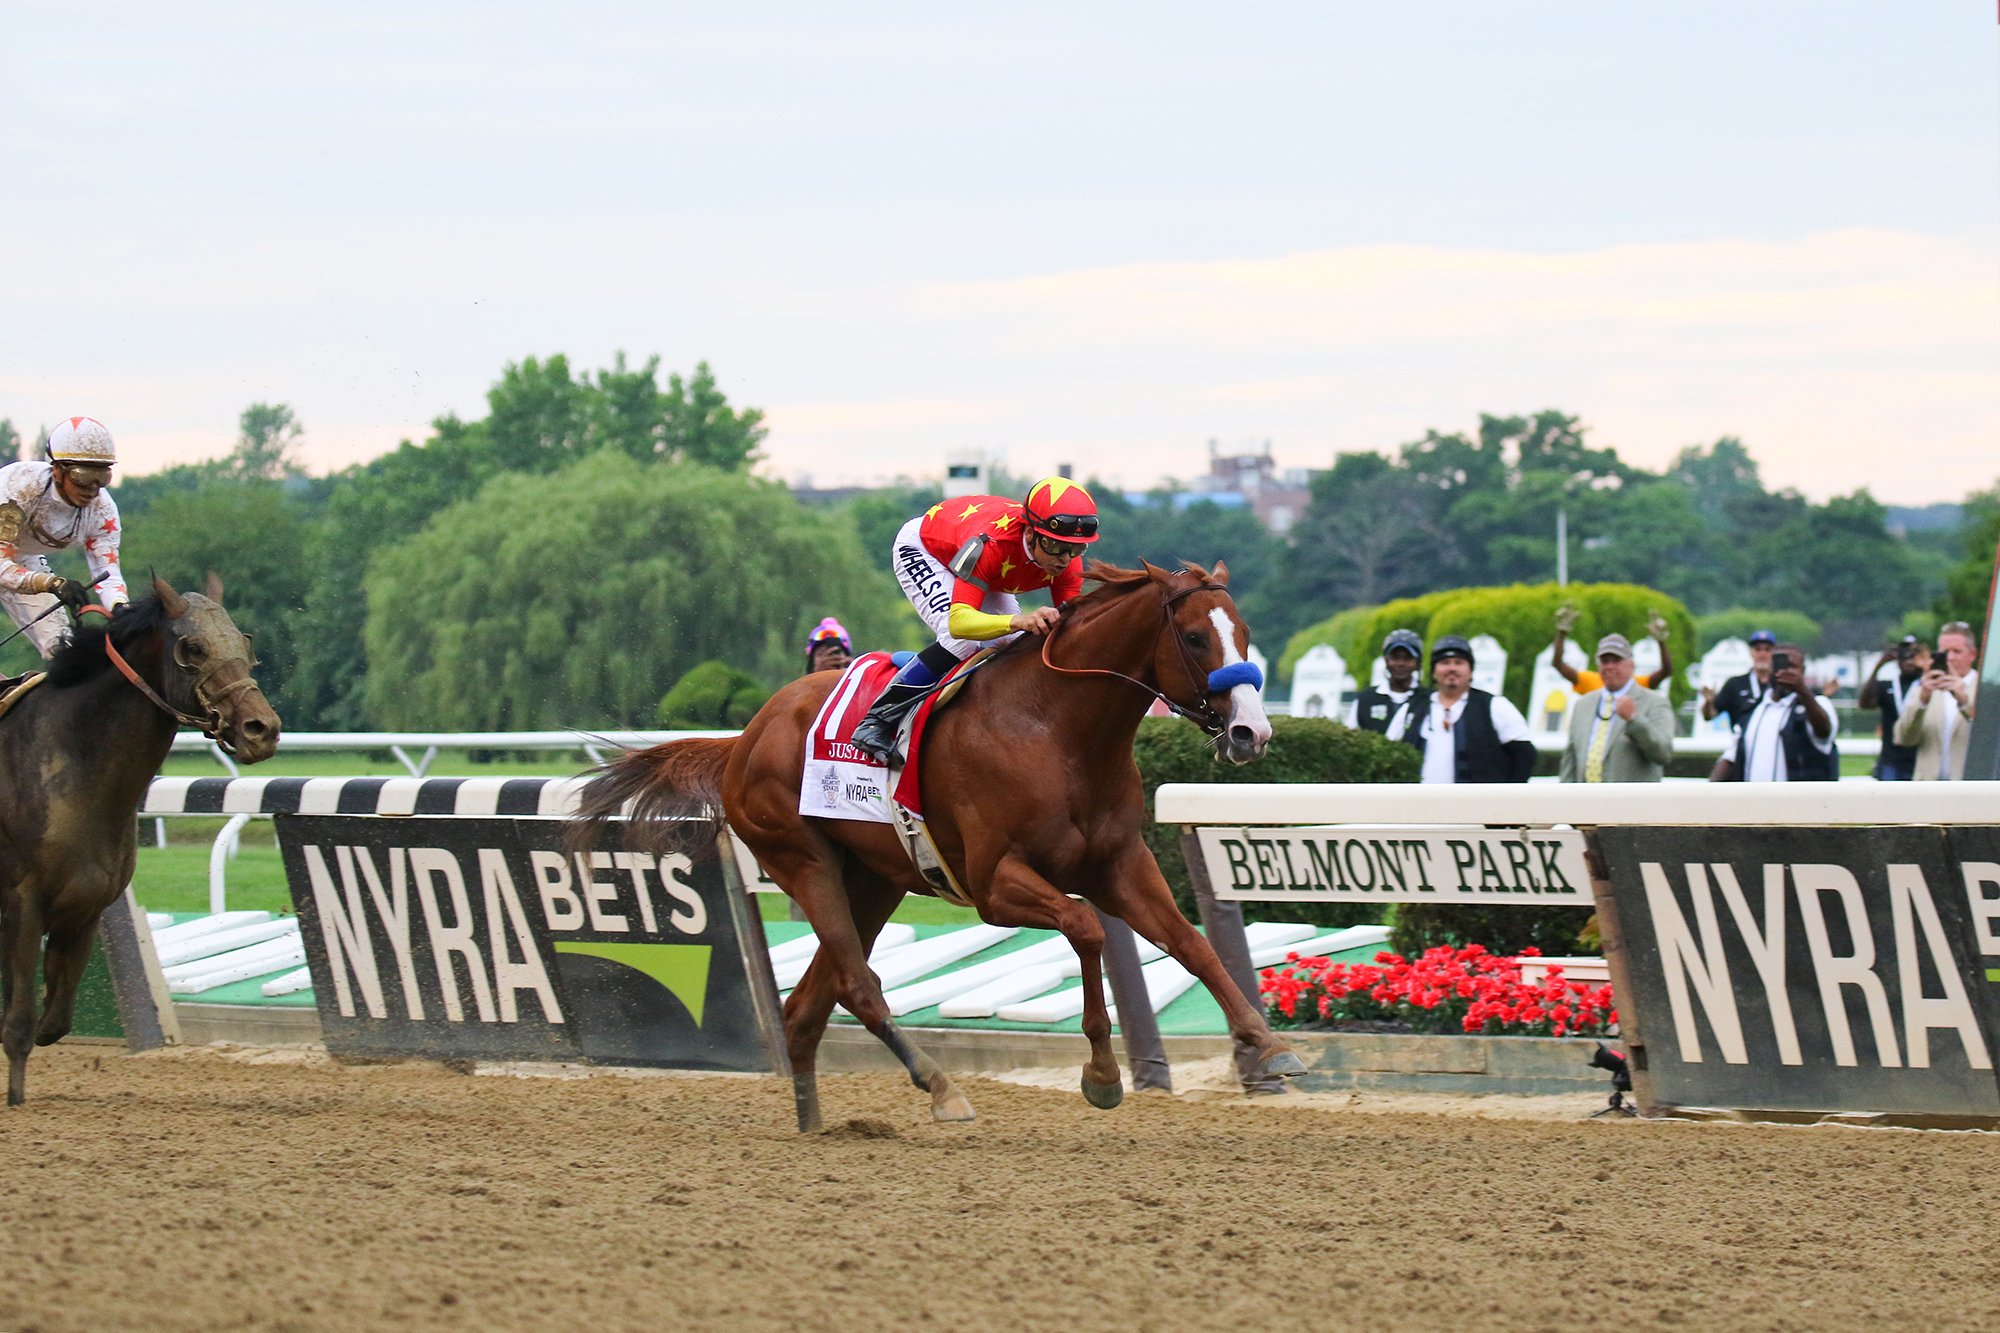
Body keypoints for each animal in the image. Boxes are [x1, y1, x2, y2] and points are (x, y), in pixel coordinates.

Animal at [0, 572, 282, 1096]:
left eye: (243, 642)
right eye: (193, 647)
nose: (263, 729)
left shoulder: (84, 909)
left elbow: (53, 1023)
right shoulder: (21, 907)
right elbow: (19, 1025)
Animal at [572, 556, 1304, 1128]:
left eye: (1244, 635)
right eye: (1194, 637)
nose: (1252, 732)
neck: (1055, 728)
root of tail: (745, 736)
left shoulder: (1119, 863)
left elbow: (1190, 943)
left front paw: (1268, 1045)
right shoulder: (994, 884)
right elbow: (1087, 929)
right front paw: (1100, 1073)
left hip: (873, 879)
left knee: (809, 1003)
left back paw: (813, 1121)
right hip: (802, 860)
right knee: (858, 984)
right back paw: (940, 1087)